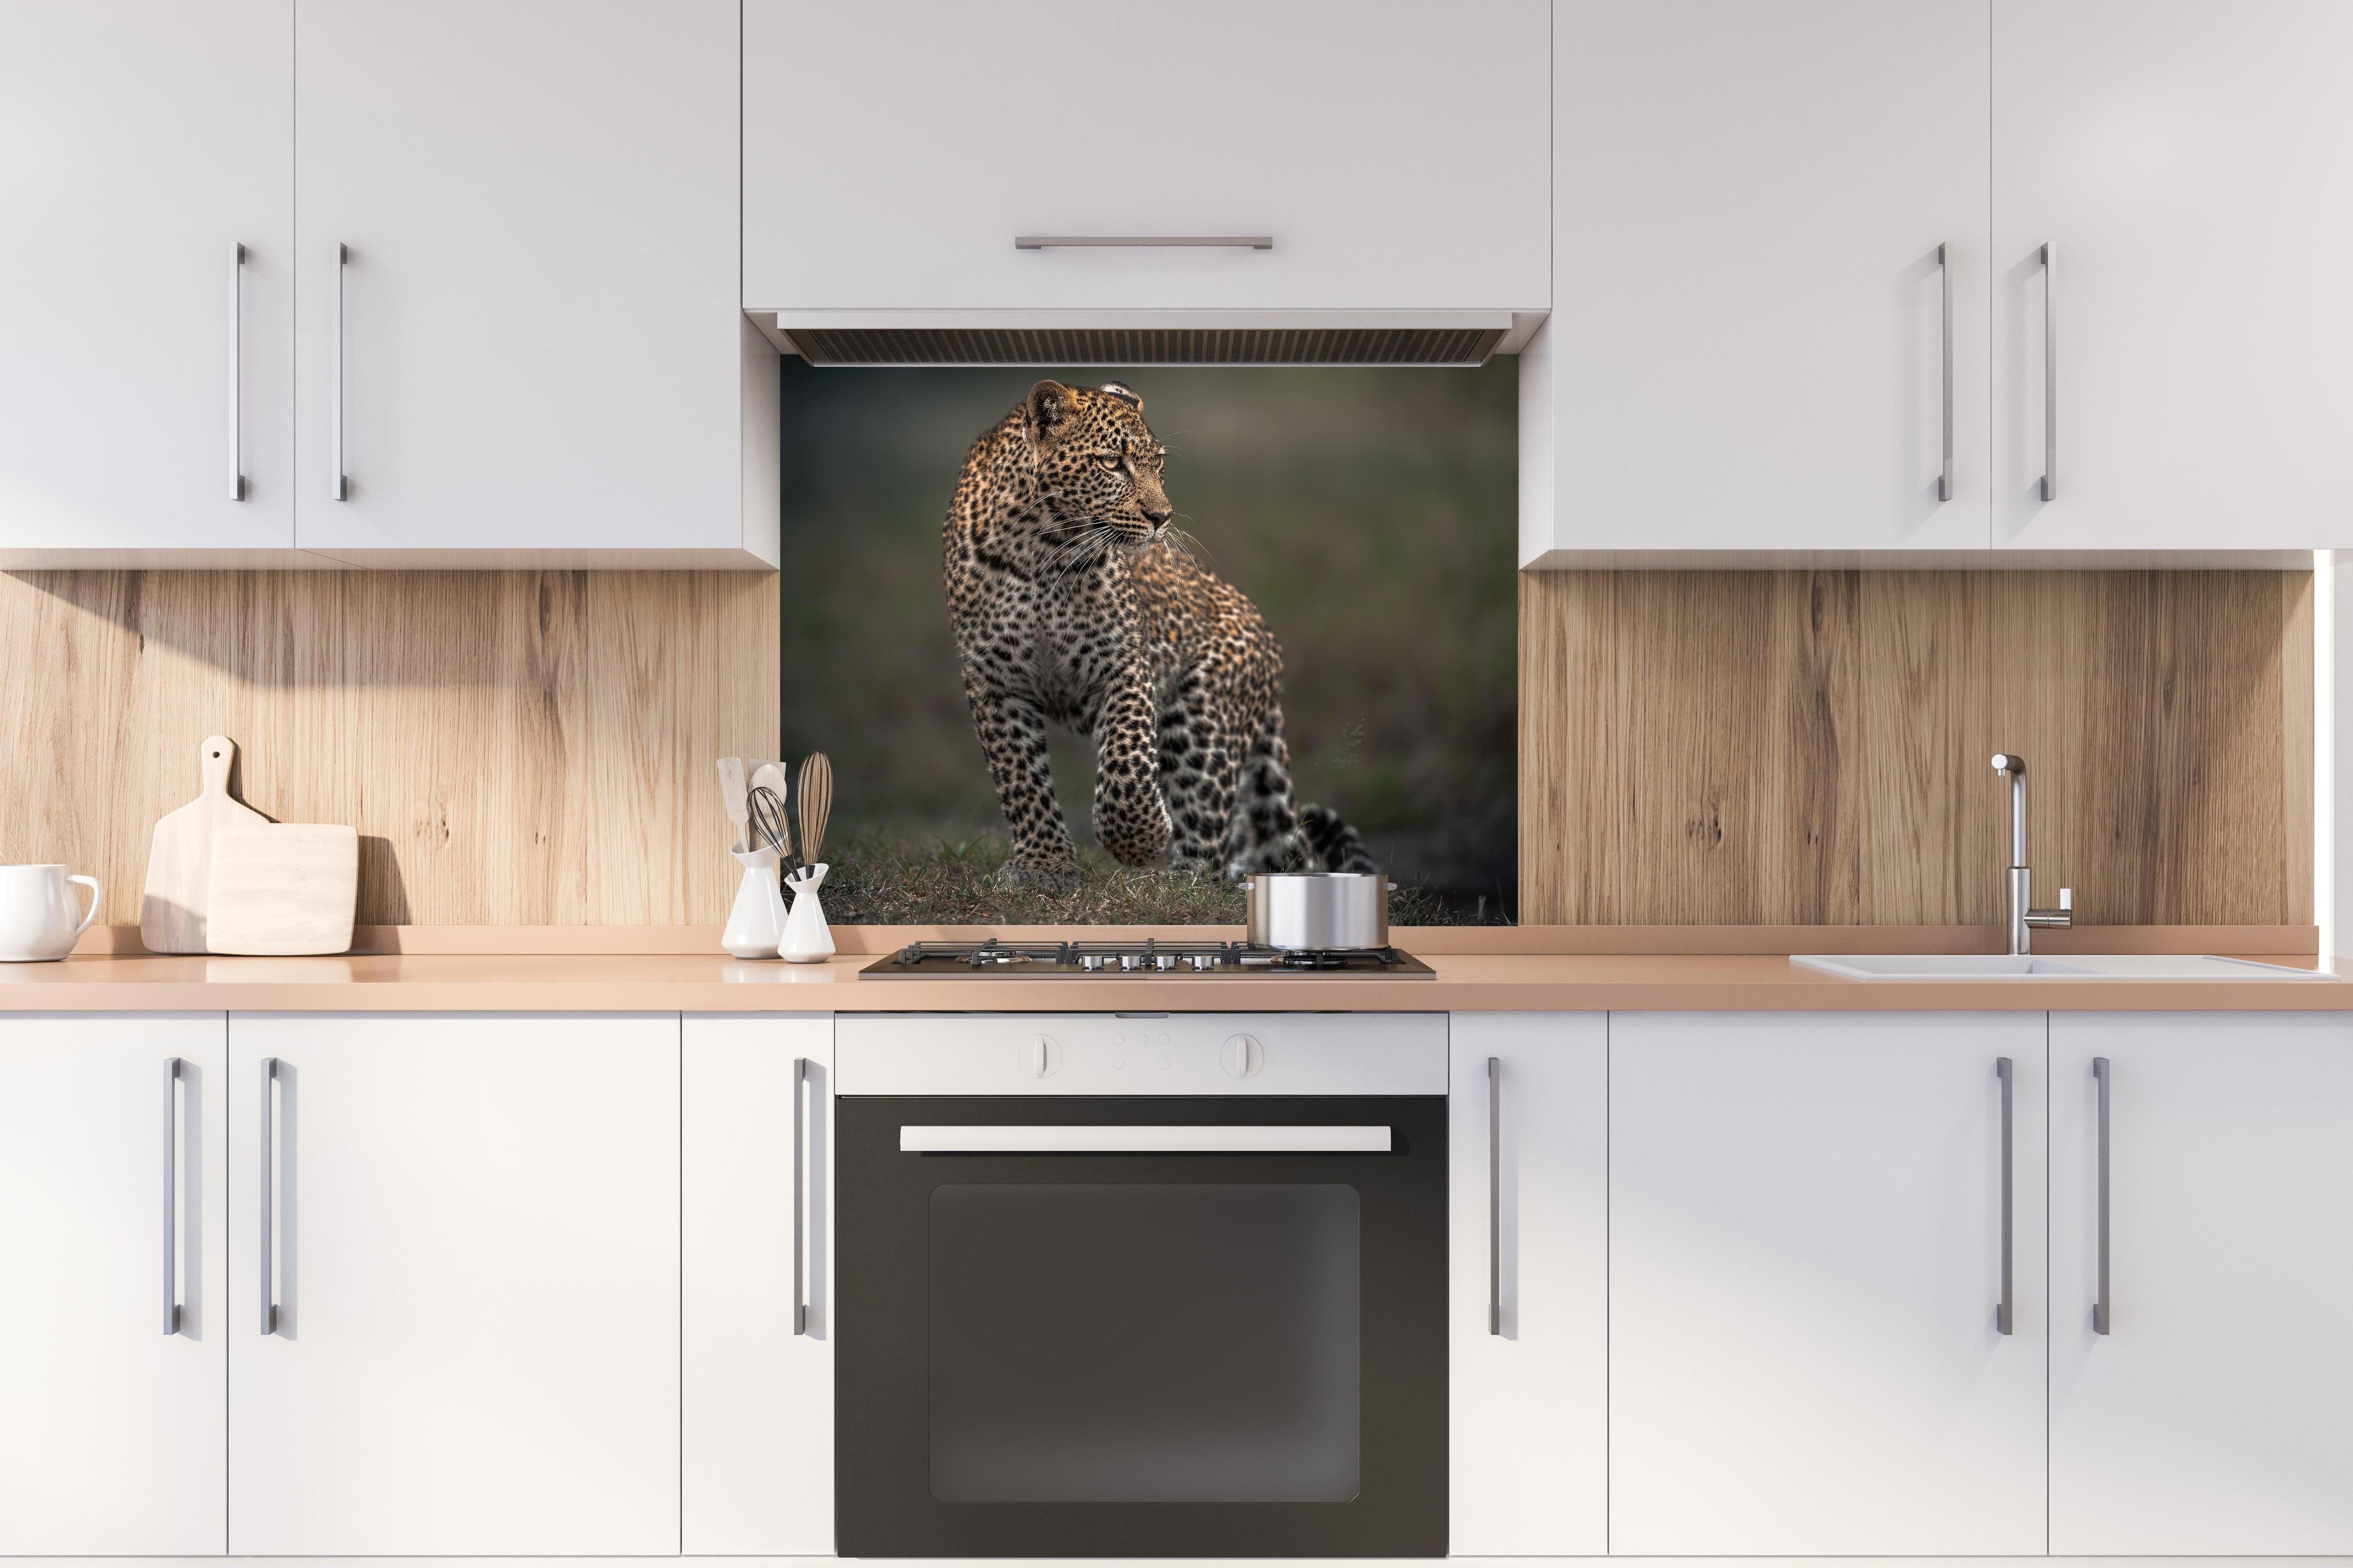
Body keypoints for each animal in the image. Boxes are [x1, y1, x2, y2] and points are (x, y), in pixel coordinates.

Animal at [941, 377, 1376, 889]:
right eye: (1113, 463)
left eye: (1159, 465)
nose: (1162, 517)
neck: (1040, 551)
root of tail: (1269, 643)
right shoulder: (993, 680)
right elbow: (1020, 778)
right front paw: (1043, 865)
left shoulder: (1124, 663)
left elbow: (1127, 761)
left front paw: (1139, 838)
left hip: (1201, 722)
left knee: (1210, 846)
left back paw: (1179, 884)